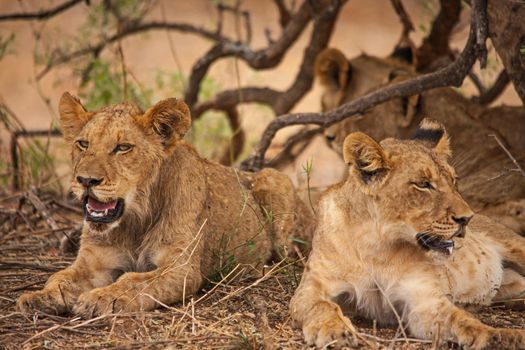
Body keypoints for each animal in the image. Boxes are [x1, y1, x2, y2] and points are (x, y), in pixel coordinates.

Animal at [16, 93, 314, 318]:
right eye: (83, 143)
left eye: (123, 147)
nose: (86, 180)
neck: (134, 220)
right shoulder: (93, 264)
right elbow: (60, 277)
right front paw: (38, 297)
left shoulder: (181, 269)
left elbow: (133, 281)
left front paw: (99, 299)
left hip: (275, 183)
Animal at [288, 119, 524, 348]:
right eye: (423, 184)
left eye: (454, 180)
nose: (467, 218)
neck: (376, 246)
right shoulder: (312, 286)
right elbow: (321, 306)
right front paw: (334, 331)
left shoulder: (424, 301)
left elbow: (463, 321)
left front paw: (501, 337)